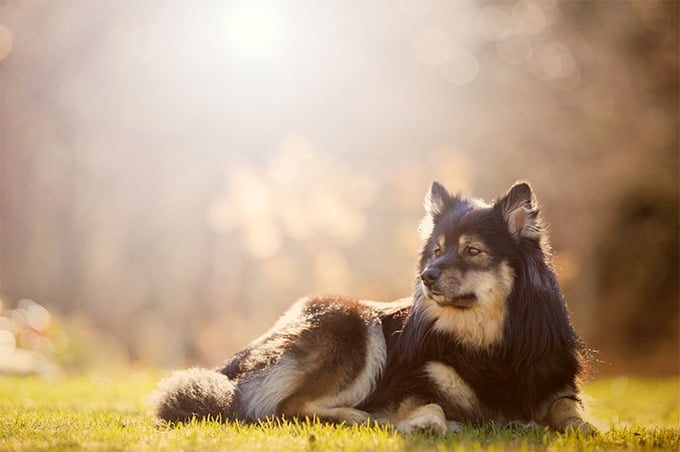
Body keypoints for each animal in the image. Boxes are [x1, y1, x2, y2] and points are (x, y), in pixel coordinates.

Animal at [150, 181, 596, 434]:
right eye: (437, 250)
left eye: (472, 250)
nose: (427, 276)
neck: (491, 345)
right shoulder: (410, 382)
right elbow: (429, 402)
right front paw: (427, 423)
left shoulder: (557, 384)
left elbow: (566, 409)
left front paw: (584, 427)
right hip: (352, 321)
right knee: (284, 408)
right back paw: (358, 417)